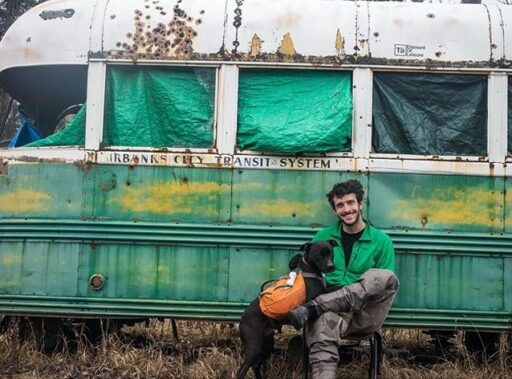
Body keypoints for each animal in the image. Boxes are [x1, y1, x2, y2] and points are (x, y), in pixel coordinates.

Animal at [236, 240, 336, 379]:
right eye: (319, 256)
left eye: (331, 253)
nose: (331, 266)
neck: (309, 269)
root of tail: (242, 319)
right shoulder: (314, 296)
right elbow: (334, 289)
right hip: (254, 346)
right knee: (242, 370)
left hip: (266, 345)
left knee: (256, 365)